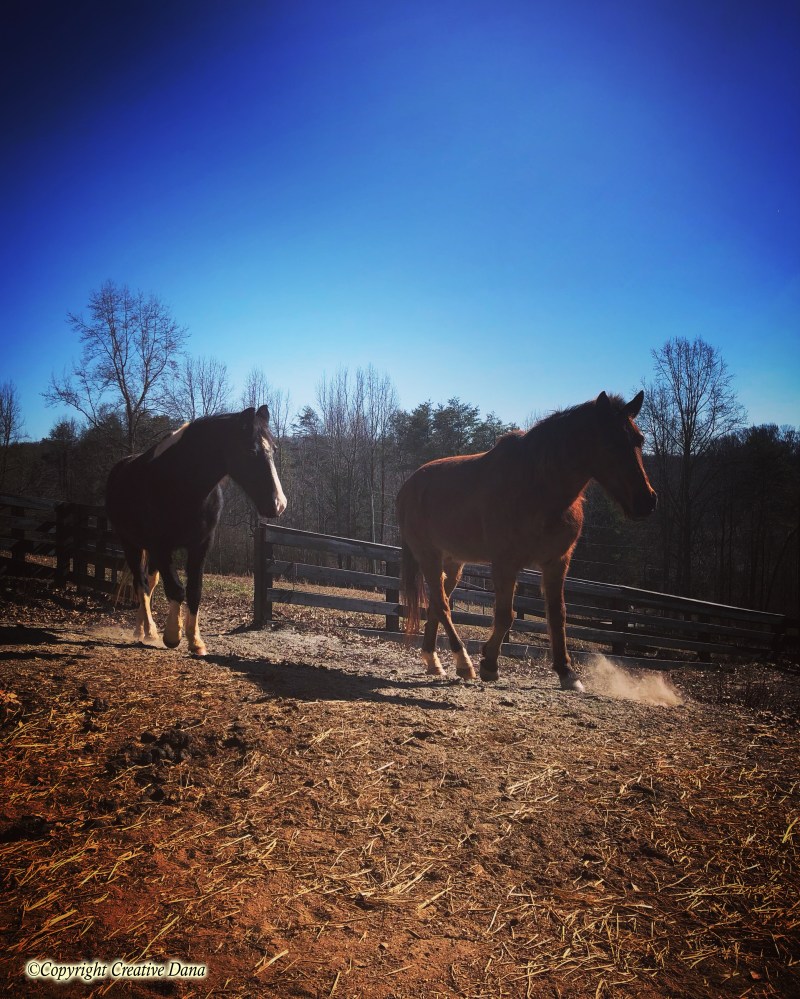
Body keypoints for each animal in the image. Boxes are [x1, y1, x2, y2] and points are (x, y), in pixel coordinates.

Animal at [106, 405, 287, 655]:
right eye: (250, 451)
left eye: (274, 449)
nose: (278, 504)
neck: (182, 484)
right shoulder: (161, 546)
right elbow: (176, 589)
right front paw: (173, 635)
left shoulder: (200, 545)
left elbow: (194, 590)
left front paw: (195, 640)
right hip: (130, 543)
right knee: (140, 583)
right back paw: (149, 630)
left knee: (149, 583)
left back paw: (143, 629)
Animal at [396, 391, 657, 690]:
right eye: (610, 443)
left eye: (640, 440)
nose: (647, 501)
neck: (539, 488)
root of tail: (408, 486)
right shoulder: (505, 564)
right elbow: (505, 615)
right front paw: (489, 664)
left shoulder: (557, 562)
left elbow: (557, 616)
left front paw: (567, 672)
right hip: (429, 557)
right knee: (441, 605)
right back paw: (464, 662)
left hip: (452, 562)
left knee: (438, 605)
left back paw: (433, 660)